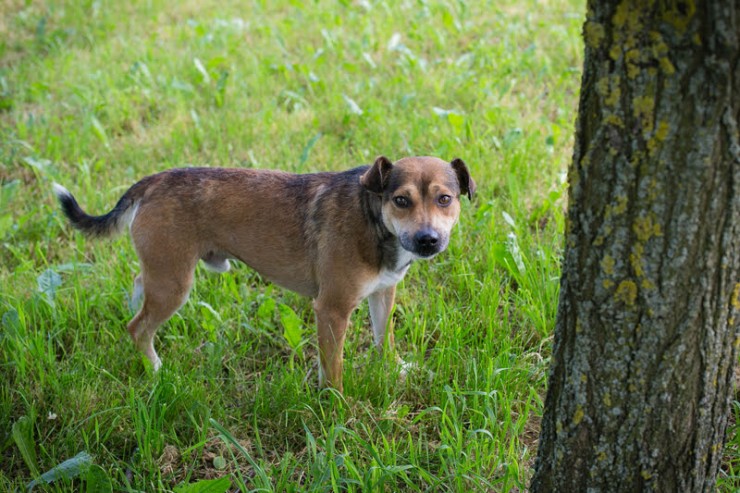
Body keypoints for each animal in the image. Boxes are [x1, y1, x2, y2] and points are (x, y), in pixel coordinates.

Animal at [55, 156, 476, 390]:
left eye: (445, 199)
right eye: (401, 200)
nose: (428, 240)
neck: (374, 220)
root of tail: (156, 180)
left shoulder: (383, 293)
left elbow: (382, 337)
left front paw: (394, 368)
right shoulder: (332, 310)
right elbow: (334, 368)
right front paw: (338, 409)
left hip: (162, 272)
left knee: (139, 285)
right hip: (174, 283)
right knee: (137, 327)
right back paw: (157, 370)